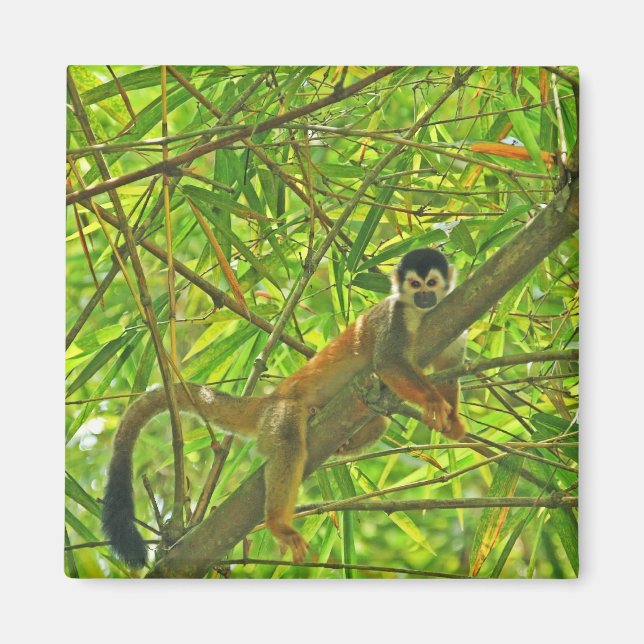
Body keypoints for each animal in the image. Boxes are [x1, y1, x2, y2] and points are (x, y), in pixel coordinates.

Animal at [102, 247, 467, 568]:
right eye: (415, 285)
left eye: (431, 283)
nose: (425, 298)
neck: (421, 314)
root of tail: (269, 398)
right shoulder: (393, 317)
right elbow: (388, 362)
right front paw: (432, 401)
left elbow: (449, 366)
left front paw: (453, 420)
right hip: (278, 414)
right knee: (290, 443)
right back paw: (278, 521)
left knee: (378, 422)